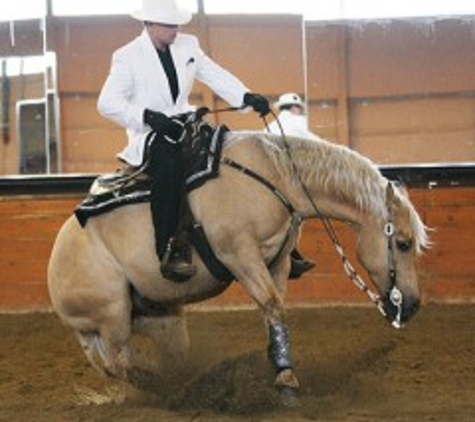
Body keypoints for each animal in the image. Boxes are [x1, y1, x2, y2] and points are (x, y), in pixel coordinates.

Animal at [46, 130, 430, 404]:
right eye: (403, 242)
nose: (411, 306)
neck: (274, 176)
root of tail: (56, 264)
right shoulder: (241, 256)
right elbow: (272, 306)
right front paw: (287, 380)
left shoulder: (276, 262)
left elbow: (273, 312)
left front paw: (279, 366)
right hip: (112, 315)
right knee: (119, 363)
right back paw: (177, 390)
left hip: (161, 320)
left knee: (132, 362)